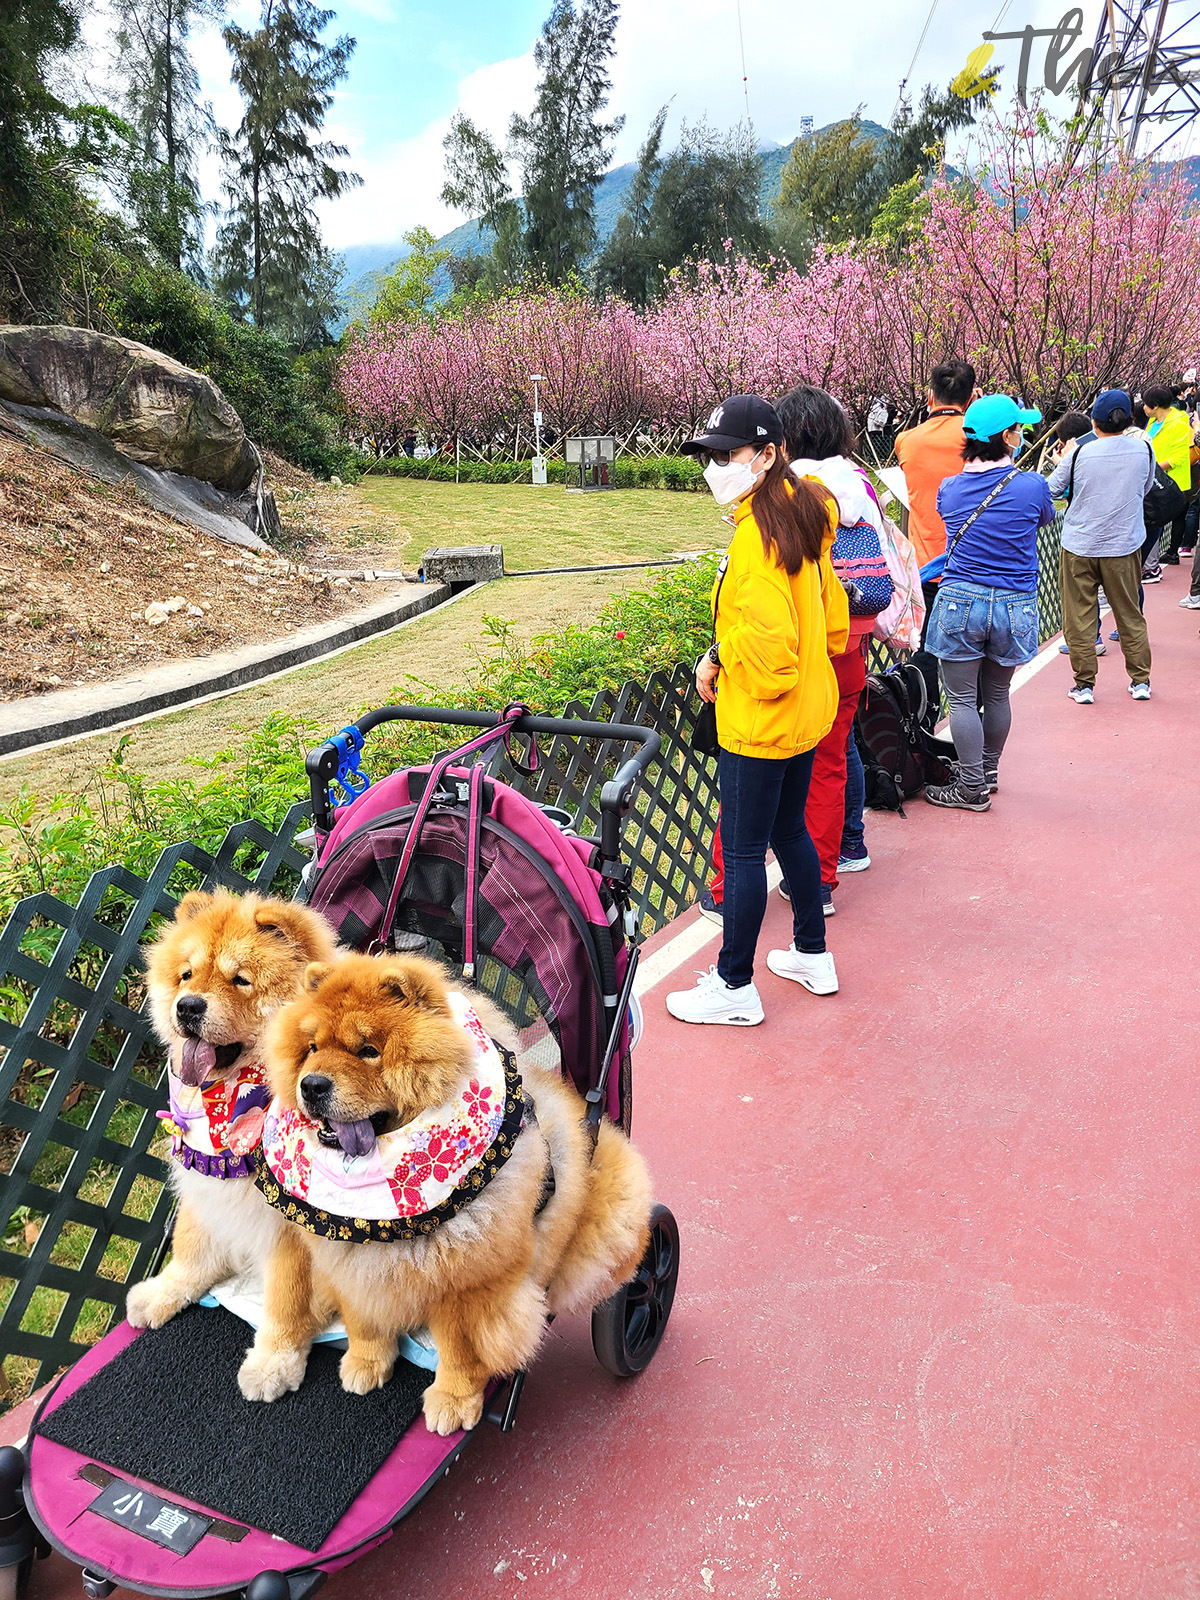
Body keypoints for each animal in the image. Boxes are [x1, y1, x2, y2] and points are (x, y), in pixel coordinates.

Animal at [125, 889, 339, 1337]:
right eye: (186, 975)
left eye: (240, 979)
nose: (188, 1007)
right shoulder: (206, 1183)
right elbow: (190, 1246)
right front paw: (163, 1293)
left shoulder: (296, 1227)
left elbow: (289, 1296)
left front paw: (275, 1352)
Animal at [243, 947, 652, 1440]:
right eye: (312, 1049)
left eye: (369, 1051)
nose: (312, 1084)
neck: (378, 1220)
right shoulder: (351, 1266)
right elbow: (364, 1322)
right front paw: (365, 1364)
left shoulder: (467, 1285)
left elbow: (462, 1351)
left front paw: (452, 1403)